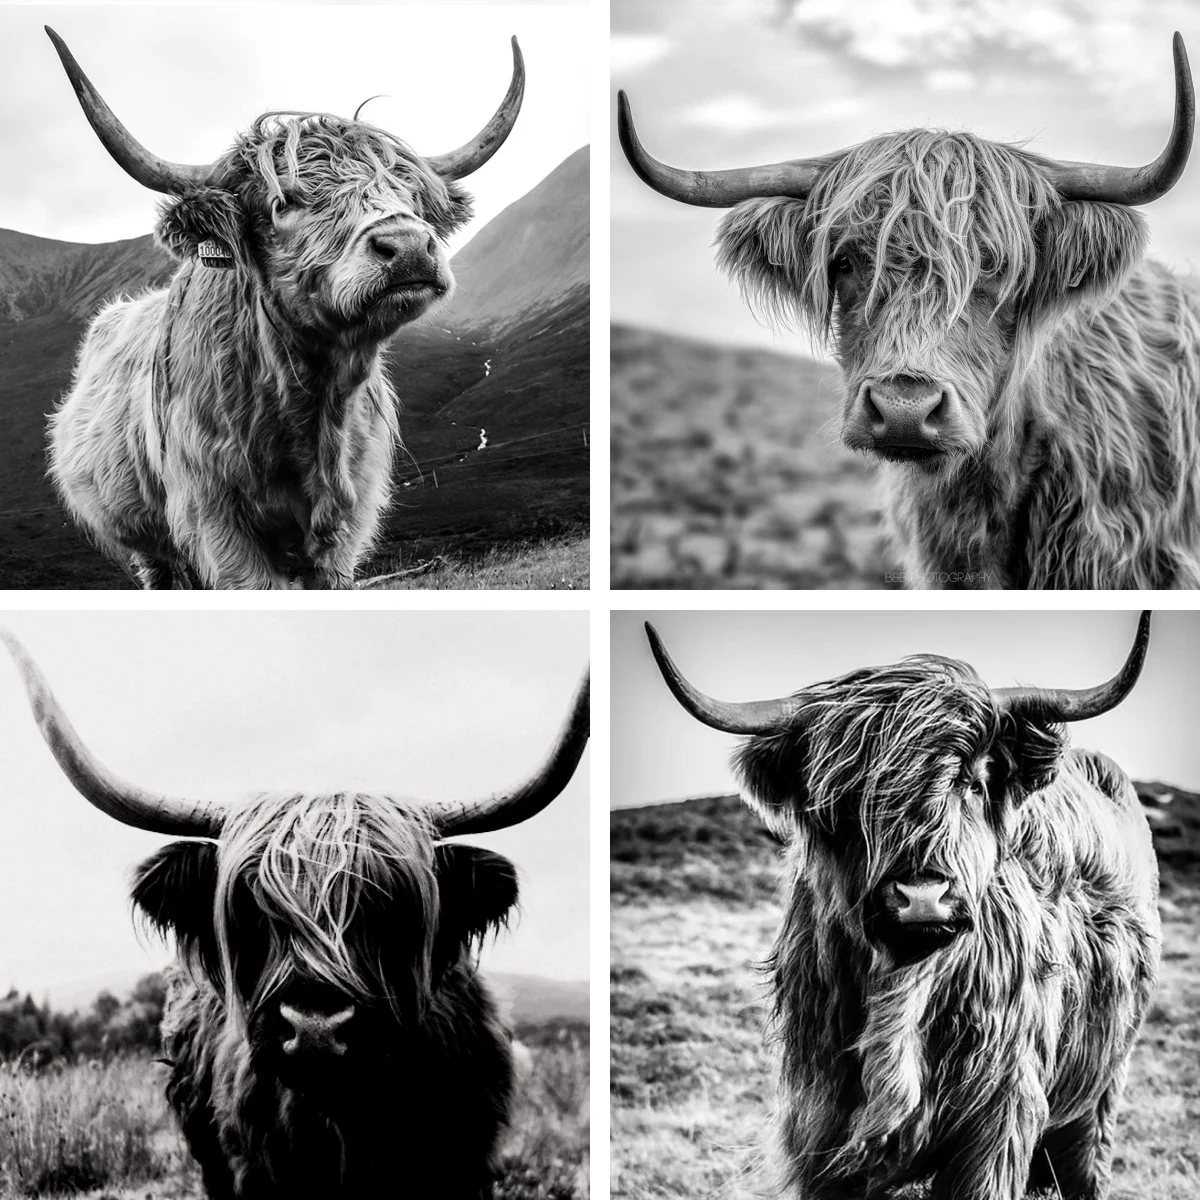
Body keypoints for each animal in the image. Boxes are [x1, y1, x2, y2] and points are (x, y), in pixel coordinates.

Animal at [44, 27, 524, 589]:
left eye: (410, 195)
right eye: (283, 203)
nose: (407, 246)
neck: (308, 410)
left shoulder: (348, 524)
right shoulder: (216, 521)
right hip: (147, 545)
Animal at [644, 613, 1160, 1200]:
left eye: (972, 782)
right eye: (846, 800)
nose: (923, 898)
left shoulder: (998, 1121)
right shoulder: (820, 1127)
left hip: (1101, 1092)